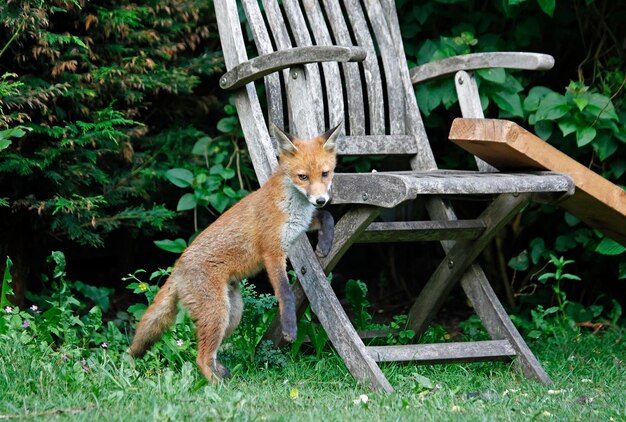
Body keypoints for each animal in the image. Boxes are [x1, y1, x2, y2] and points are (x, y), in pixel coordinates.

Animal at [129, 123, 338, 382]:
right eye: (303, 177)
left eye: (325, 174)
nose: (320, 199)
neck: (293, 205)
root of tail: (177, 268)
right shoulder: (272, 251)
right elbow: (285, 293)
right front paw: (289, 328)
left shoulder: (303, 224)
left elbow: (327, 217)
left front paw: (325, 245)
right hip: (217, 312)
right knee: (200, 357)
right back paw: (217, 385)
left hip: (232, 314)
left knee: (207, 350)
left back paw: (223, 374)